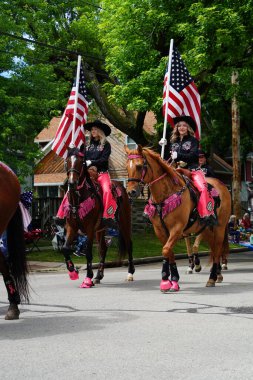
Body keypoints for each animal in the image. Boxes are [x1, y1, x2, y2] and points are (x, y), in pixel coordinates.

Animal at [61, 146, 134, 288]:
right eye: (67, 162)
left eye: (81, 162)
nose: (72, 183)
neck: (78, 199)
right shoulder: (71, 227)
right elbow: (65, 248)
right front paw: (73, 272)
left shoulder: (89, 228)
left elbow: (89, 253)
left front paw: (88, 278)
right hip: (101, 229)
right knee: (103, 249)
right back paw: (98, 276)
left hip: (124, 223)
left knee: (129, 244)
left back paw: (130, 273)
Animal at [125, 145, 231, 290]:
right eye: (127, 167)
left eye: (140, 166)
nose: (131, 192)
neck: (165, 195)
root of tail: (222, 186)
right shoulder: (160, 231)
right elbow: (169, 252)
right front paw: (174, 280)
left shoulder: (177, 228)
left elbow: (165, 250)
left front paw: (165, 281)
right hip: (207, 229)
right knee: (214, 249)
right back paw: (216, 276)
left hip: (219, 228)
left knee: (218, 249)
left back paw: (212, 278)